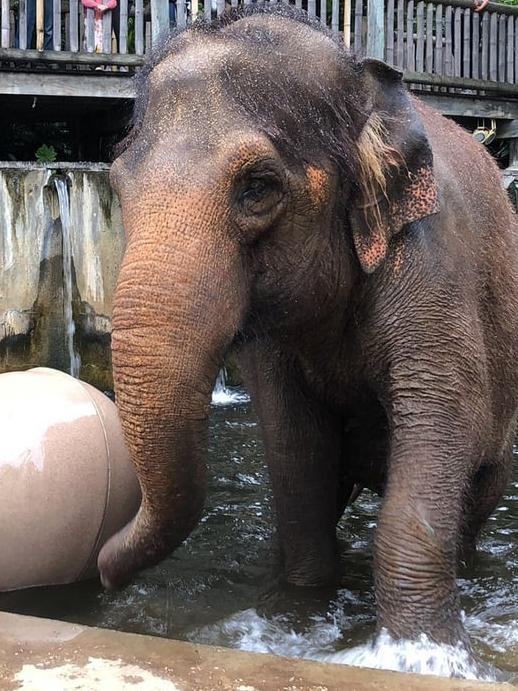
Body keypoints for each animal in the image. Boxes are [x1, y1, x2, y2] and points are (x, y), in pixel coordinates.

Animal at [99, 5, 518, 652]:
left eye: (258, 187)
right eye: (118, 185)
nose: (101, 574)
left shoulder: (436, 259)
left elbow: (443, 414)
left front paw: (425, 652)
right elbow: (295, 443)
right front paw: (295, 613)